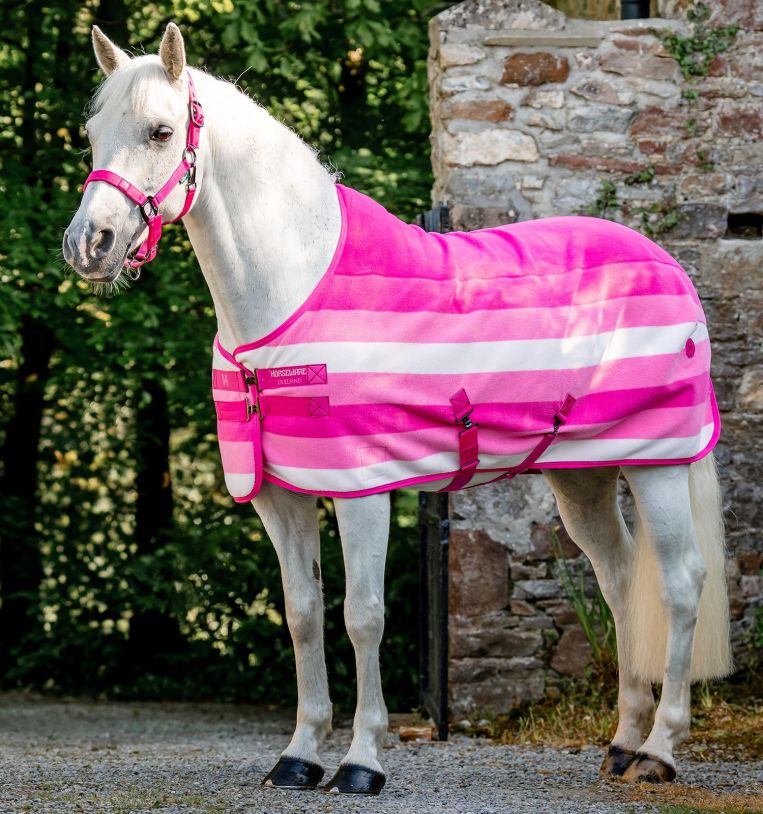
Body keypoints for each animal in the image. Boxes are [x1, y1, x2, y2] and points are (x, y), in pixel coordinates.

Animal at [62, 23, 731, 795]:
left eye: (161, 131)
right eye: (92, 133)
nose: (88, 245)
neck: (291, 291)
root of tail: (666, 263)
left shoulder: (362, 490)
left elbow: (363, 617)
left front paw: (361, 761)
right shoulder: (281, 496)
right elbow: (302, 614)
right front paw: (298, 755)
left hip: (657, 464)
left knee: (679, 584)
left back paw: (658, 751)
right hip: (583, 475)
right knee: (620, 579)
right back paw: (621, 742)